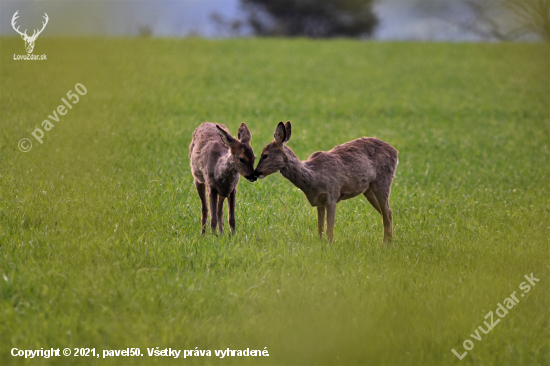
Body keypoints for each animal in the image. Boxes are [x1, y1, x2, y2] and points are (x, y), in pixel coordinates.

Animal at [254, 122, 402, 243]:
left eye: (265, 155)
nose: (256, 172)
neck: (313, 177)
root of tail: (396, 152)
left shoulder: (332, 195)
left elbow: (329, 230)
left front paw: (330, 246)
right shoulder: (319, 201)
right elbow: (320, 227)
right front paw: (321, 245)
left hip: (383, 181)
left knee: (387, 212)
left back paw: (386, 244)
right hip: (368, 189)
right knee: (388, 212)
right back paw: (389, 241)